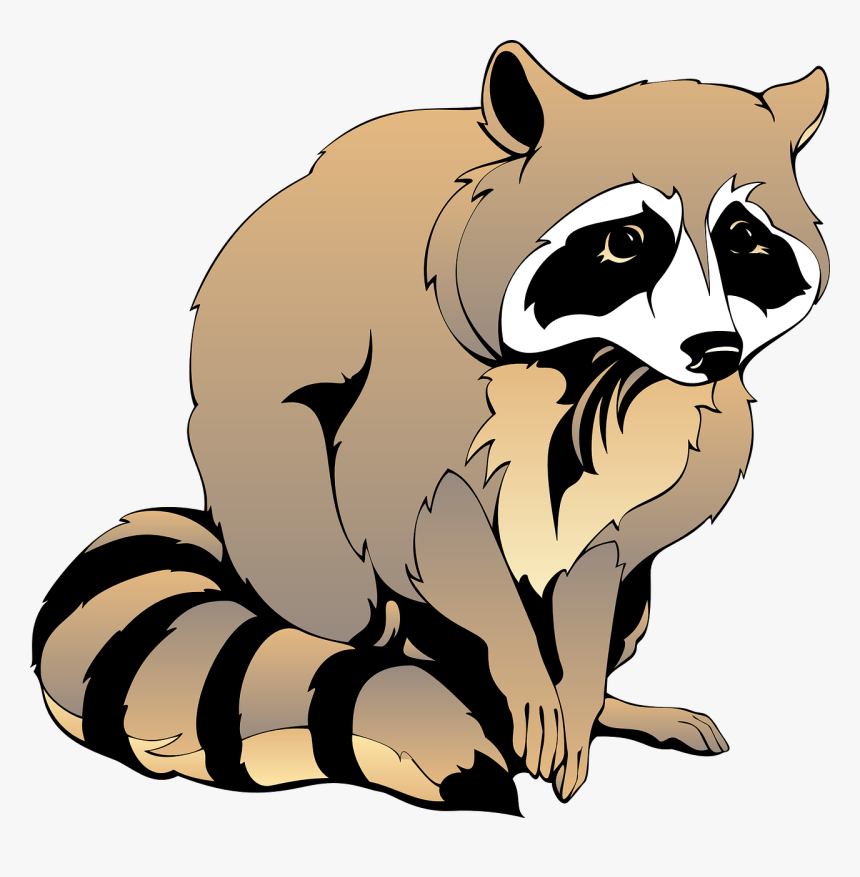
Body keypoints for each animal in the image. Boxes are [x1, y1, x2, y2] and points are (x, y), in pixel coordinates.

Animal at [33, 42, 829, 814]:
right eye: (627, 240)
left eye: (742, 239)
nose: (717, 351)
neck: (594, 366)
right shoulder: (412, 380)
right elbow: (425, 524)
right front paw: (522, 667)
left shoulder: (666, 434)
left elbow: (601, 555)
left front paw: (575, 693)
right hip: (277, 503)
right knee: (328, 551)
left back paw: (602, 702)